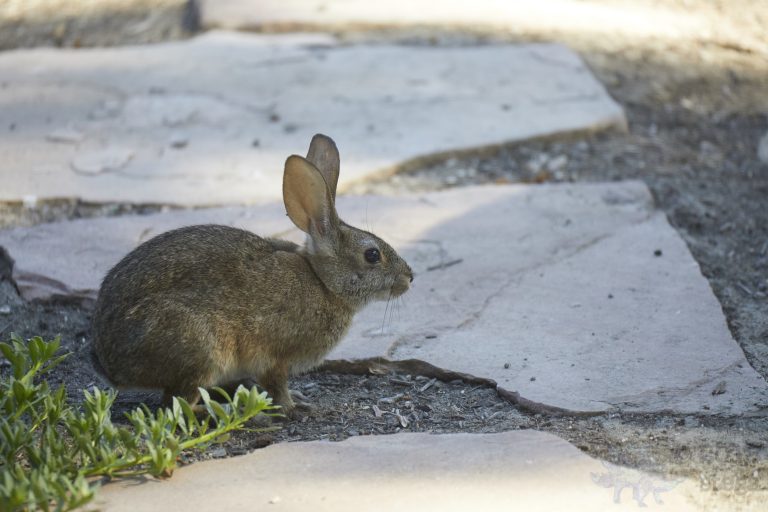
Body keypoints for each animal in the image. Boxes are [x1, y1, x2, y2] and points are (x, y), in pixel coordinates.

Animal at [91, 134, 413, 416]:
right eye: (372, 255)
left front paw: (296, 399)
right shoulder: (275, 357)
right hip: (201, 349)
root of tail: (110, 365)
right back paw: (222, 411)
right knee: (175, 404)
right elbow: (276, 384)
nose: (410, 277)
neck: (323, 283)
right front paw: (293, 407)